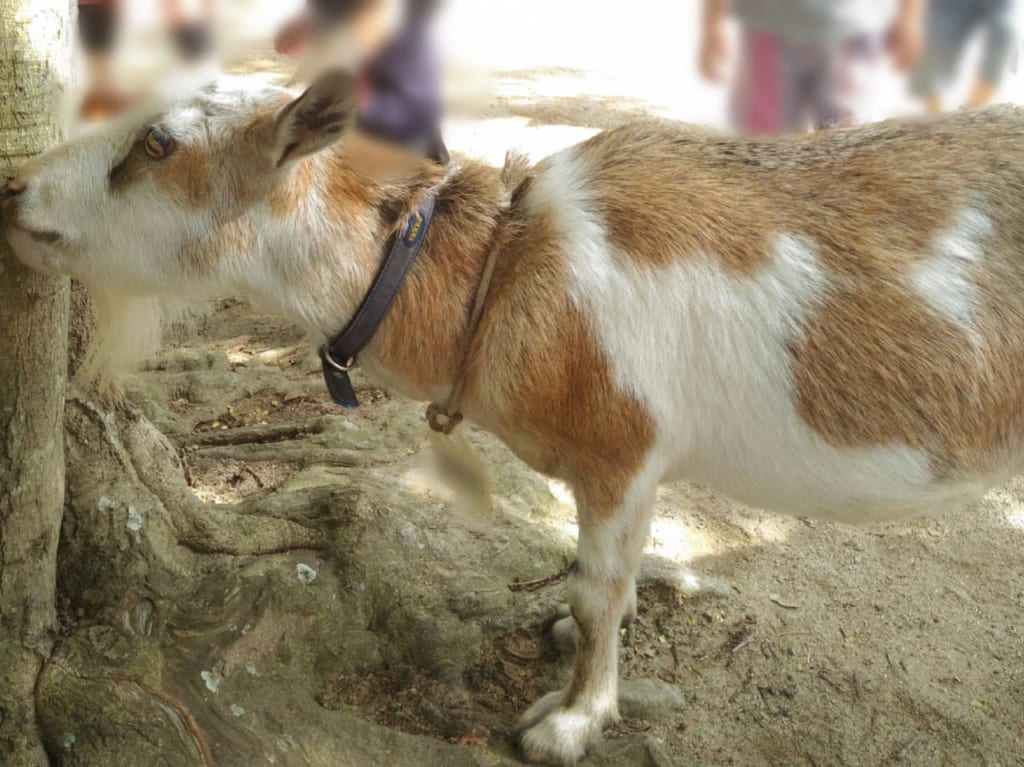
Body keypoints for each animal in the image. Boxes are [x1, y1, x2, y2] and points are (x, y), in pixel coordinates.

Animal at [6, 70, 1024, 761]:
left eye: (158, 146)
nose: (15, 192)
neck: (504, 271)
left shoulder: (622, 448)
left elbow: (594, 586)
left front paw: (570, 719)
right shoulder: (636, 470)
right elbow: (604, 577)